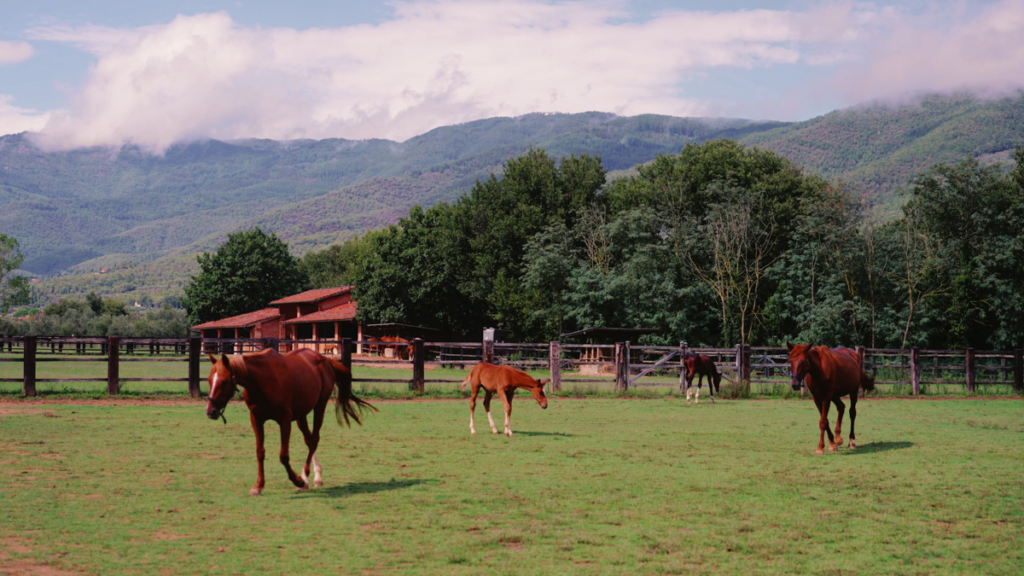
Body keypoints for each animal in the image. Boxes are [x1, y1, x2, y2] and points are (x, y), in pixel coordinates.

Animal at [205, 348, 376, 495]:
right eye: (209, 380)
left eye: (224, 382)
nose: (210, 412)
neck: (262, 380)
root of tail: (325, 359)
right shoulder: (256, 419)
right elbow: (260, 452)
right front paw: (258, 486)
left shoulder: (285, 420)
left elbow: (283, 456)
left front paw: (298, 481)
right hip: (301, 415)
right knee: (309, 440)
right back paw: (315, 476)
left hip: (319, 406)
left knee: (314, 439)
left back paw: (306, 478)